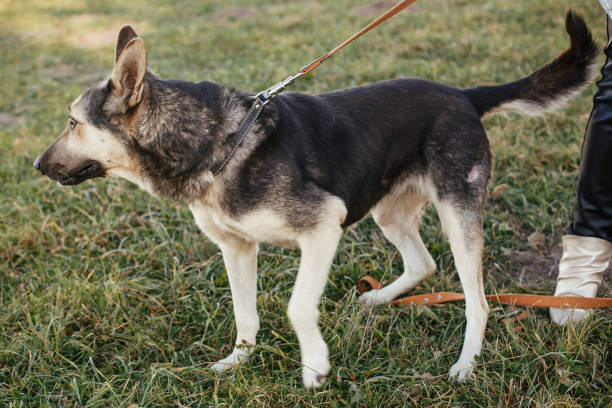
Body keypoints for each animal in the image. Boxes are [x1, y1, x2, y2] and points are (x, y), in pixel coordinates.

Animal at [34, 11, 596, 388]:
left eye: (72, 123)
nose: (37, 165)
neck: (213, 141)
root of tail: (463, 95)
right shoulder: (237, 249)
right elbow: (245, 314)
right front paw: (238, 362)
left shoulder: (323, 228)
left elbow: (298, 307)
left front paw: (315, 367)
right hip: (388, 210)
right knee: (423, 263)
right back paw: (379, 299)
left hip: (458, 214)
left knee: (476, 301)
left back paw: (465, 365)